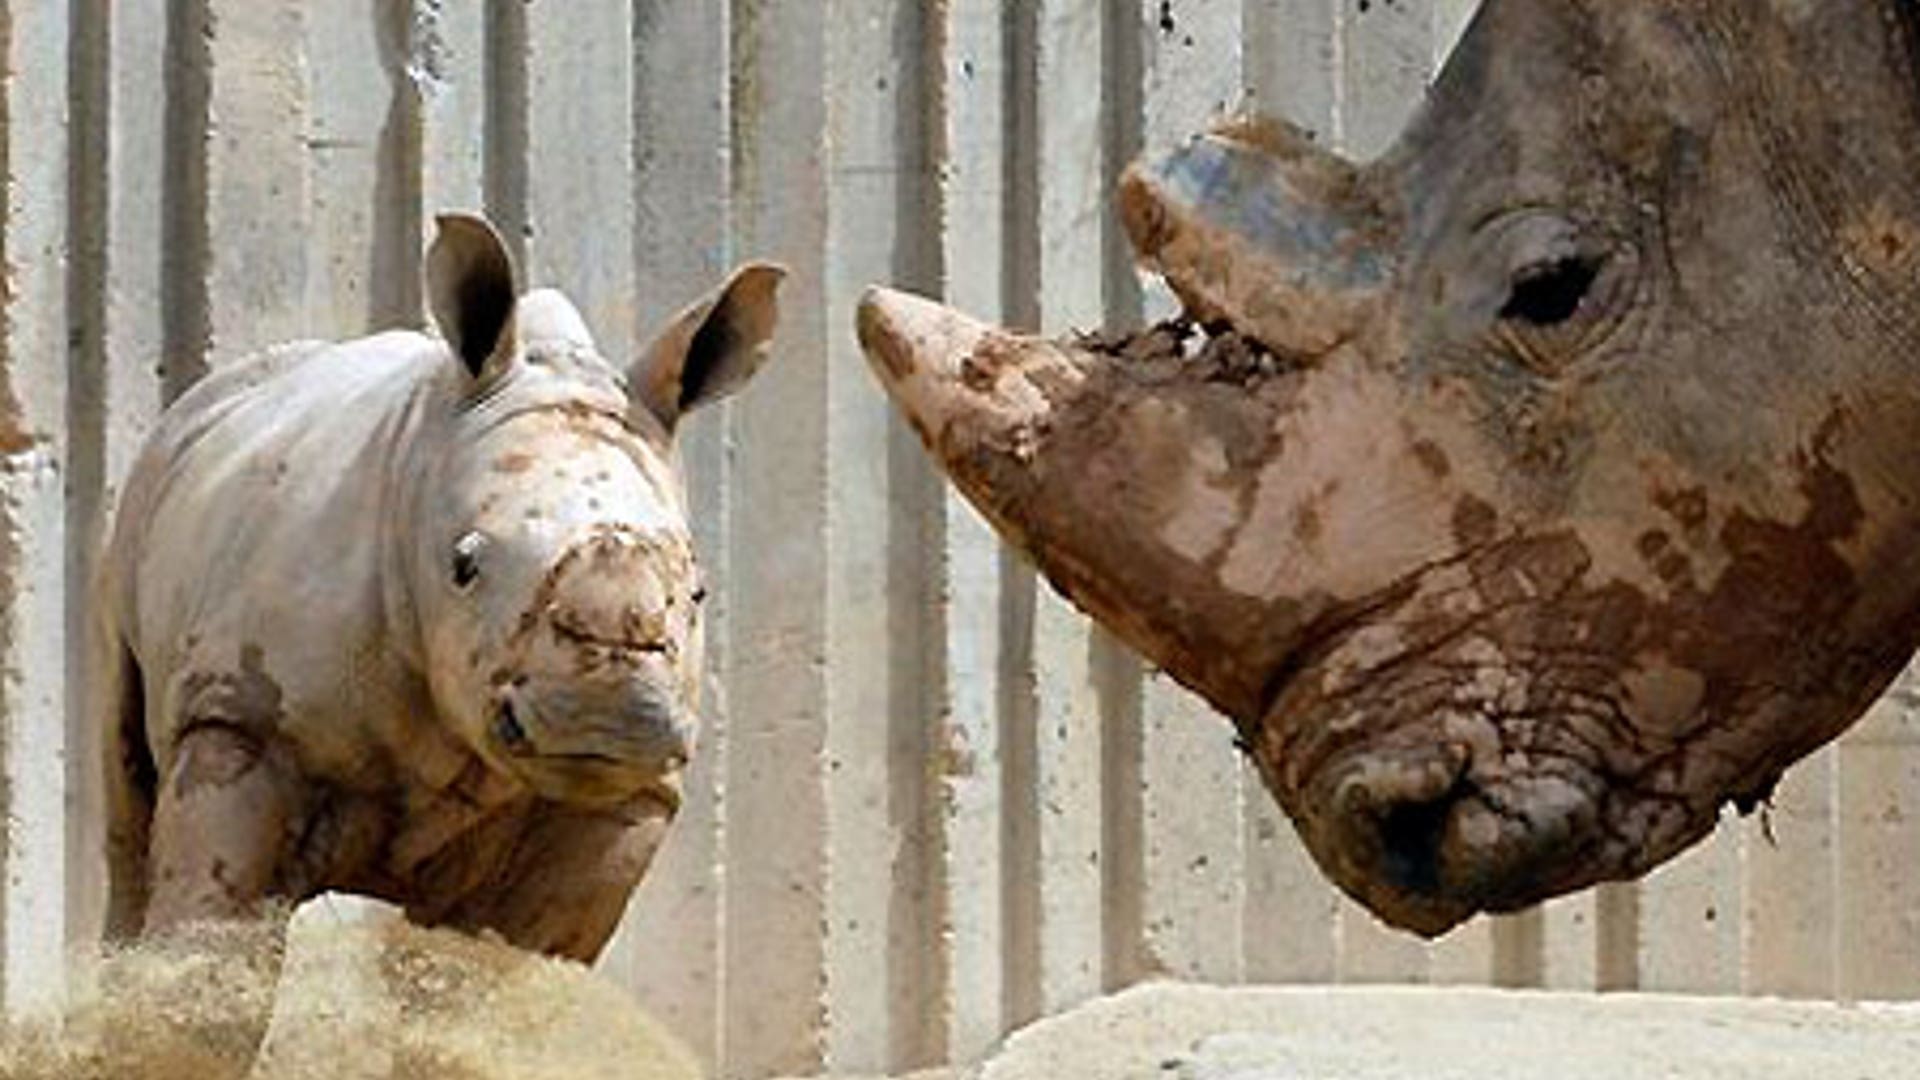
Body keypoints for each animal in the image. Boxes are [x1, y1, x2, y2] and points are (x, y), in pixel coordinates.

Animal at [95, 213, 782, 960]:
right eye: (464, 566)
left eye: (700, 595)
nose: (601, 713)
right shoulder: (243, 719)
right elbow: (212, 925)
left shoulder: (631, 796)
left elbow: (515, 957)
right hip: (139, 506)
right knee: (126, 804)